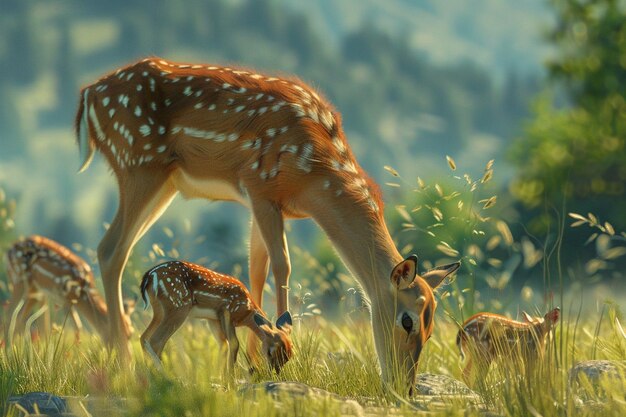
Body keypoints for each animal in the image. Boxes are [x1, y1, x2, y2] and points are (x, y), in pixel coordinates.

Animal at [2, 234, 134, 344]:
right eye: (119, 335)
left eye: (131, 334)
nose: (127, 356)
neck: (83, 293)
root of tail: (9, 250)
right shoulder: (65, 299)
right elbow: (77, 327)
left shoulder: (68, 302)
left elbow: (78, 326)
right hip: (19, 279)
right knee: (10, 315)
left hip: (36, 291)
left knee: (22, 319)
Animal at [140, 260, 292, 374]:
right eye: (271, 352)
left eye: (289, 357)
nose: (275, 372)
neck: (247, 313)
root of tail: (149, 276)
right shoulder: (227, 311)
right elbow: (234, 343)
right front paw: (231, 381)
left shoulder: (213, 319)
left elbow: (223, 344)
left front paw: (222, 380)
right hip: (178, 306)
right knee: (156, 340)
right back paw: (165, 376)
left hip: (160, 310)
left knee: (144, 337)